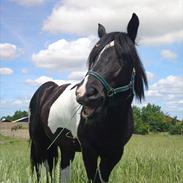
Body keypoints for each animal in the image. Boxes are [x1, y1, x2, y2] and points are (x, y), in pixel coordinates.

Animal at [28, 13, 148, 183]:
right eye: (94, 58)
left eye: (124, 58)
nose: (84, 93)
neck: (110, 121)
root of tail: (45, 89)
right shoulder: (89, 152)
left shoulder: (114, 154)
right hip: (40, 144)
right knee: (43, 171)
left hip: (65, 147)